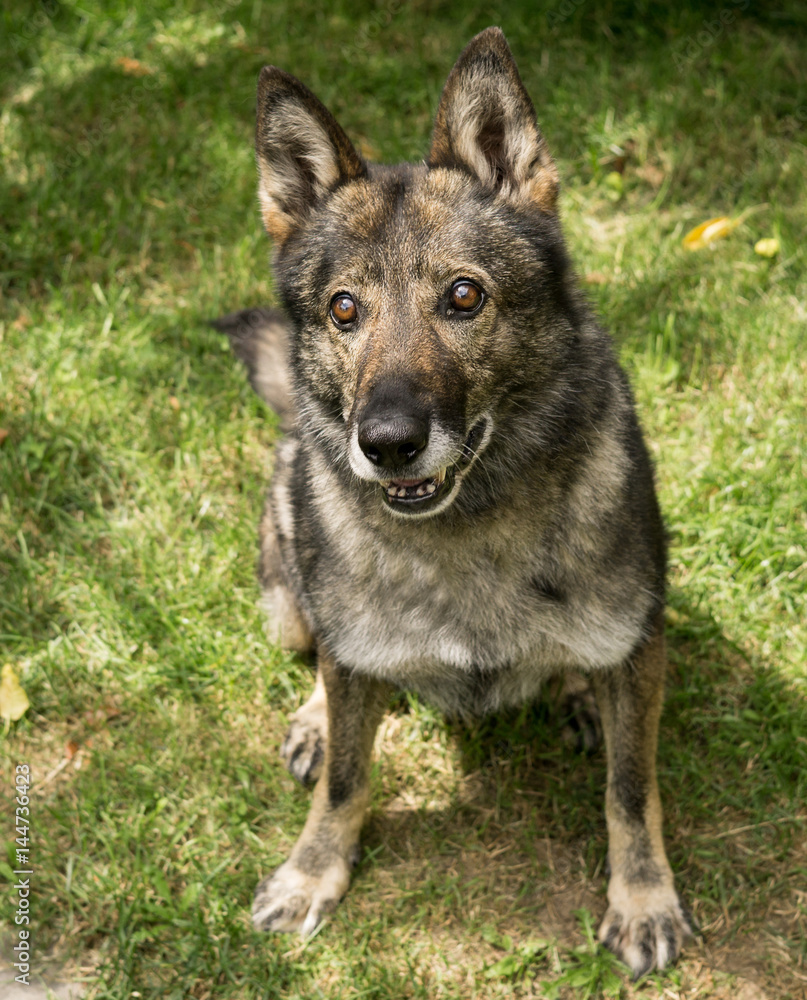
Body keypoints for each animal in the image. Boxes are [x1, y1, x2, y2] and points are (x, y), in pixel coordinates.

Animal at [215, 27, 696, 980]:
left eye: (463, 296)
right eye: (344, 310)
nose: (388, 442)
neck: (464, 531)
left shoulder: (636, 647)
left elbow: (630, 792)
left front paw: (642, 899)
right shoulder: (348, 664)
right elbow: (347, 781)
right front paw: (312, 872)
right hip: (285, 597)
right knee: (322, 655)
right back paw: (318, 718)